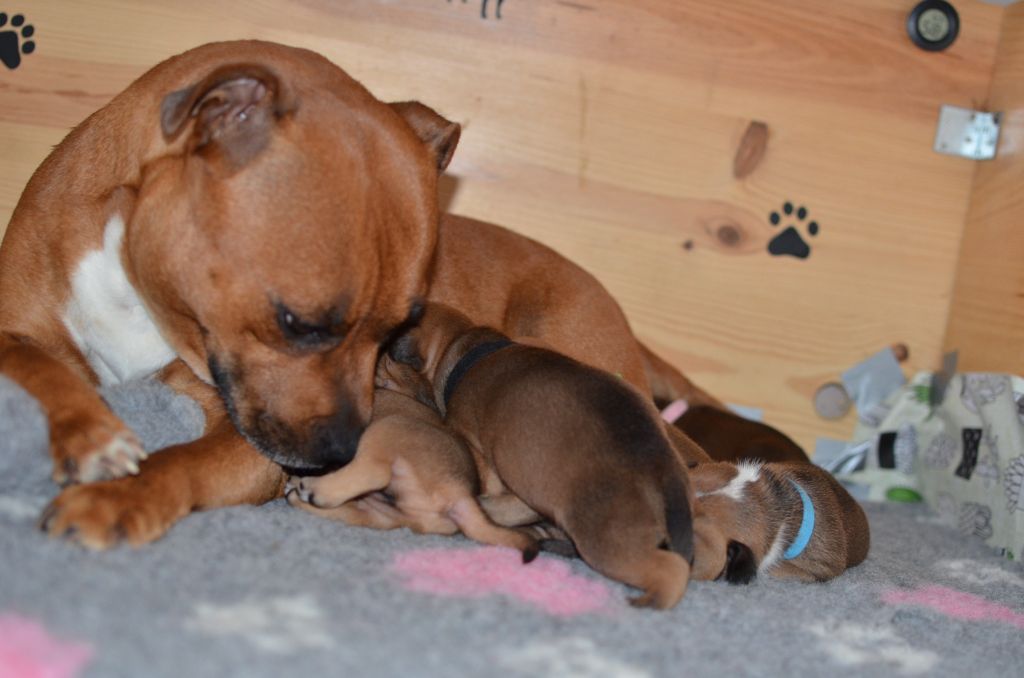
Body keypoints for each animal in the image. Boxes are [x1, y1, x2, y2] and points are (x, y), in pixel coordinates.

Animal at [378, 305, 696, 606]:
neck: (463, 344)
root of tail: (664, 469)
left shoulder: (476, 445)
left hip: (605, 535)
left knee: (671, 568)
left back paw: (653, 600)